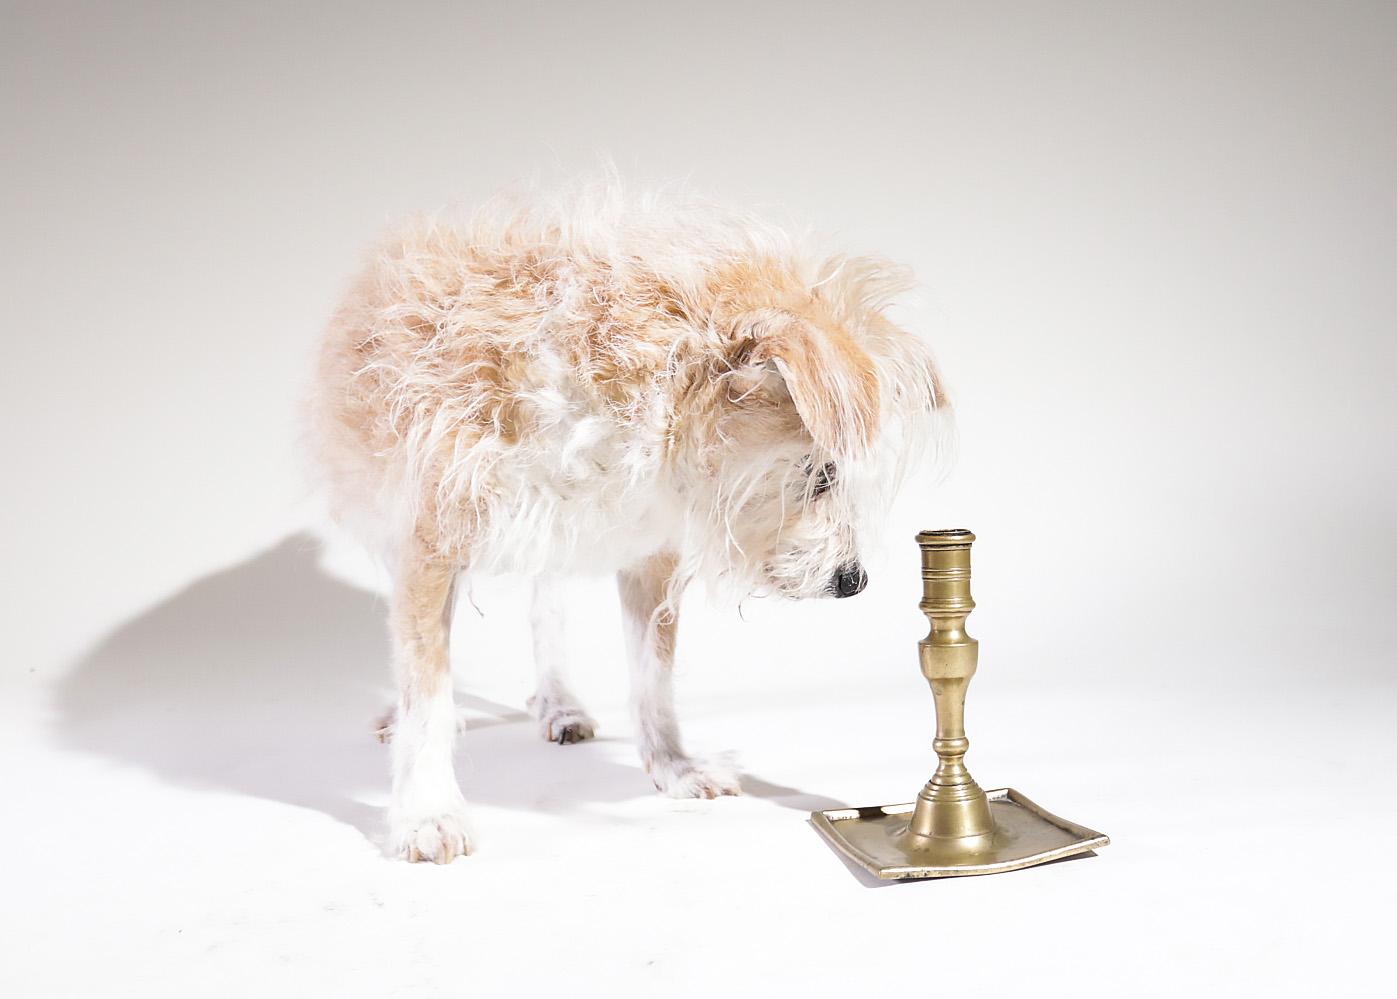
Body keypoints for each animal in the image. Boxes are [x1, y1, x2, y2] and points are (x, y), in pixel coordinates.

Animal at [305, 183, 949, 866]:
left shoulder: (651, 555)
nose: (854, 580)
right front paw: (426, 812)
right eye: (822, 473)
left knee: (547, 607)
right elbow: (424, 690)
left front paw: (673, 767)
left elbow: (653, 676)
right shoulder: (429, 546)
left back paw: (558, 703)